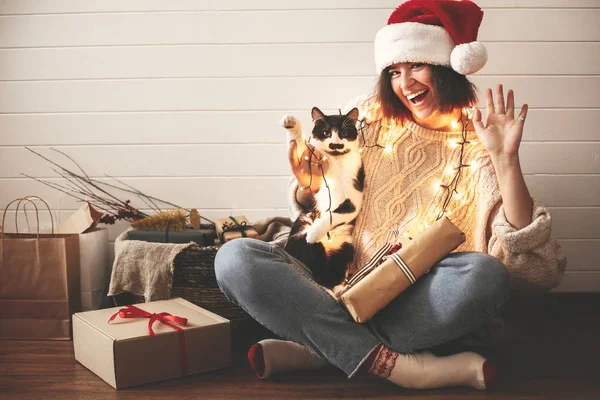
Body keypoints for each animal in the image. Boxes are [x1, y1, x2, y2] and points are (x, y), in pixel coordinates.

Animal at [280, 106, 364, 288]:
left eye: (344, 132)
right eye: (326, 132)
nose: (336, 144)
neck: (337, 161)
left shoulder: (353, 201)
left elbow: (335, 215)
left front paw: (314, 233)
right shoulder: (314, 159)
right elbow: (301, 145)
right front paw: (291, 123)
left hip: (345, 248)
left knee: (330, 277)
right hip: (302, 235)